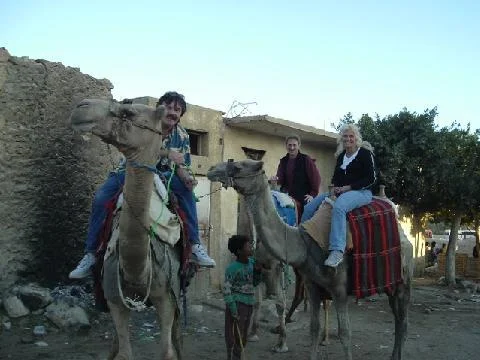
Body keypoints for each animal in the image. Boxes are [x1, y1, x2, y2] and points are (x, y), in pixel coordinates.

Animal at [71, 99, 182, 360]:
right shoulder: (113, 296)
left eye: (128, 112)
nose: (81, 107)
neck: (137, 269)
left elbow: (167, 351)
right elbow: (124, 352)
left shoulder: (166, 296)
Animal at [208, 159, 414, 360]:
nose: (212, 169)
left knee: (403, 320)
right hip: (391, 285)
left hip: (404, 282)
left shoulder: (339, 289)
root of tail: (405, 237)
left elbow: (345, 333)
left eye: (238, 166)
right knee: (397, 318)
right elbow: (313, 328)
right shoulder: (313, 285)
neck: (304, 244)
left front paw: (281, 343)